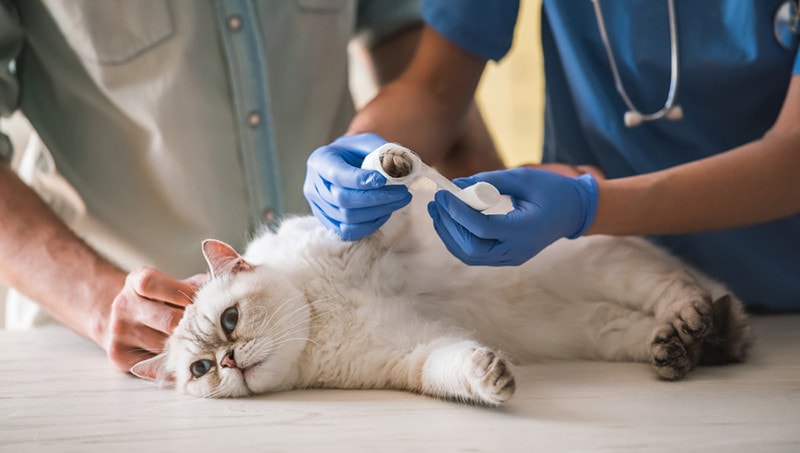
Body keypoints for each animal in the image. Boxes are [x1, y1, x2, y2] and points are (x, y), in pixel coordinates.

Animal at [134, 180, 752, 402]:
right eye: (200, 370)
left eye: (230, 322)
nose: (229, 360)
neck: (317, 318)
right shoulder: (414, 353)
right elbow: (454, 368)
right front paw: (493, 379)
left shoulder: (382, 236)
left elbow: (384, 199)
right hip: (600, 329)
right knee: (664, 326)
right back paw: (685, 348)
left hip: (609, 268)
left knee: (681, 290)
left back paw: (701, 323)